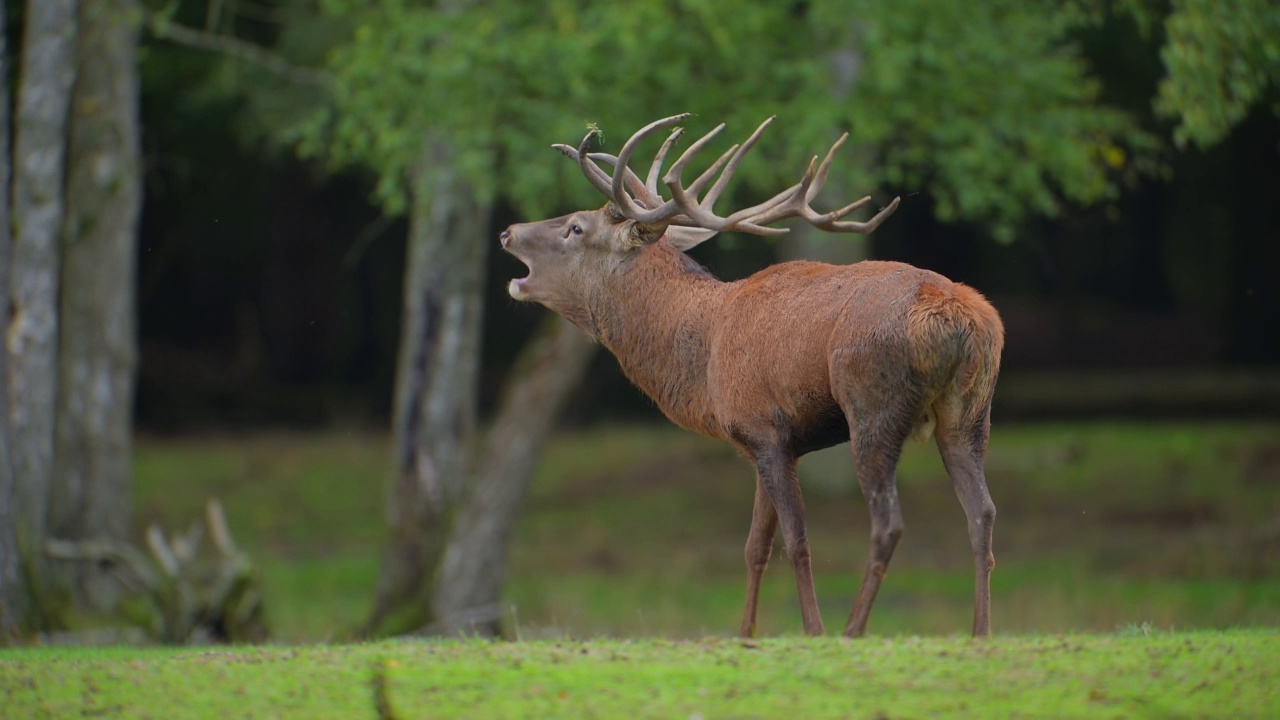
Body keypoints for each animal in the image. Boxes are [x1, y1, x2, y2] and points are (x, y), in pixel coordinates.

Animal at [494, 112, 1003, 632]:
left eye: (575, 227)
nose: (508, 232)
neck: (703, 361)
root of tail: (960, 317)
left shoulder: (763, 426)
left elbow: (796, 542)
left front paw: (812, 632)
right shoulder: (769, 441)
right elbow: (755, 546)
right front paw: (746, 636)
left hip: (872, 406)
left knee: (889, 522)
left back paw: (851, 631)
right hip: (970, 412)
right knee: (981, 514)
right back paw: (980, 633)